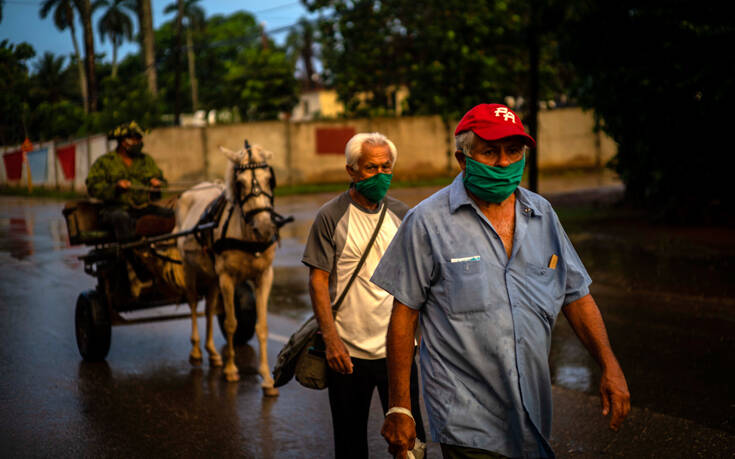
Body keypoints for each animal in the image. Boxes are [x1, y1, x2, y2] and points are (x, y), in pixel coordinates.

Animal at [174, 142, 286, 398]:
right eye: (240, 183)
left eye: (269, 179)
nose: (265, 227)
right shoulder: (226, 277)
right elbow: (231, 323)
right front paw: (231, 370)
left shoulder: (265, 276)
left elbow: (261, 327)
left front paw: (267, 379)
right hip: (190, 269)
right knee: (193, 304)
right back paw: (197, 350)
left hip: (211, 275)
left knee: (208, 308)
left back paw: (213, 353)